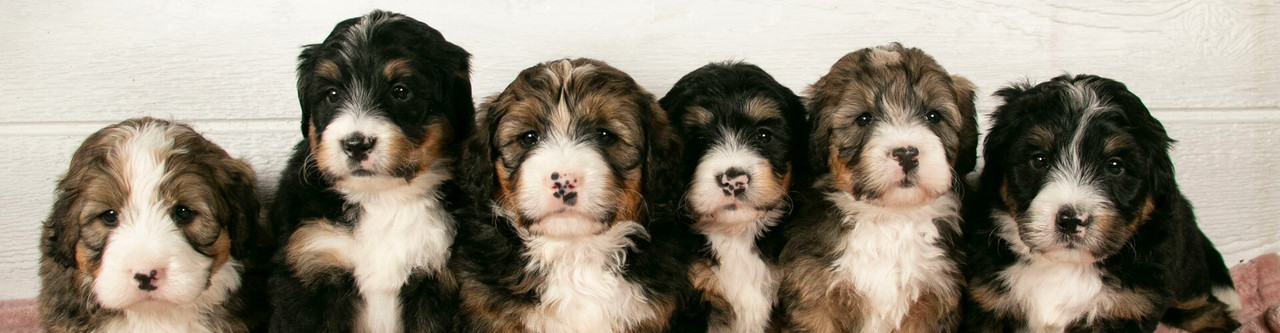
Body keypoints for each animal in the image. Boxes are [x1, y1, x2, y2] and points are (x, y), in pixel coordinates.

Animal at [270, 10, 476, 333]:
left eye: (400, 91)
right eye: (331, 94)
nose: (356, 143)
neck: (382, 198)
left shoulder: (438, 281)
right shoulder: (311, 269)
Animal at [768, 42, 977, 330]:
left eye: (933, 116)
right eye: (863, 119)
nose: (906, 154)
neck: (889, 218)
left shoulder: (934, 298)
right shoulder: (814, 296)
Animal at [962, 74, 1239, 333]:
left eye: (1115, 166)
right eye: (1039, 160)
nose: (1071, 220)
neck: (1065, 266)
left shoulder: (1129, 306)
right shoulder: (987, 300)